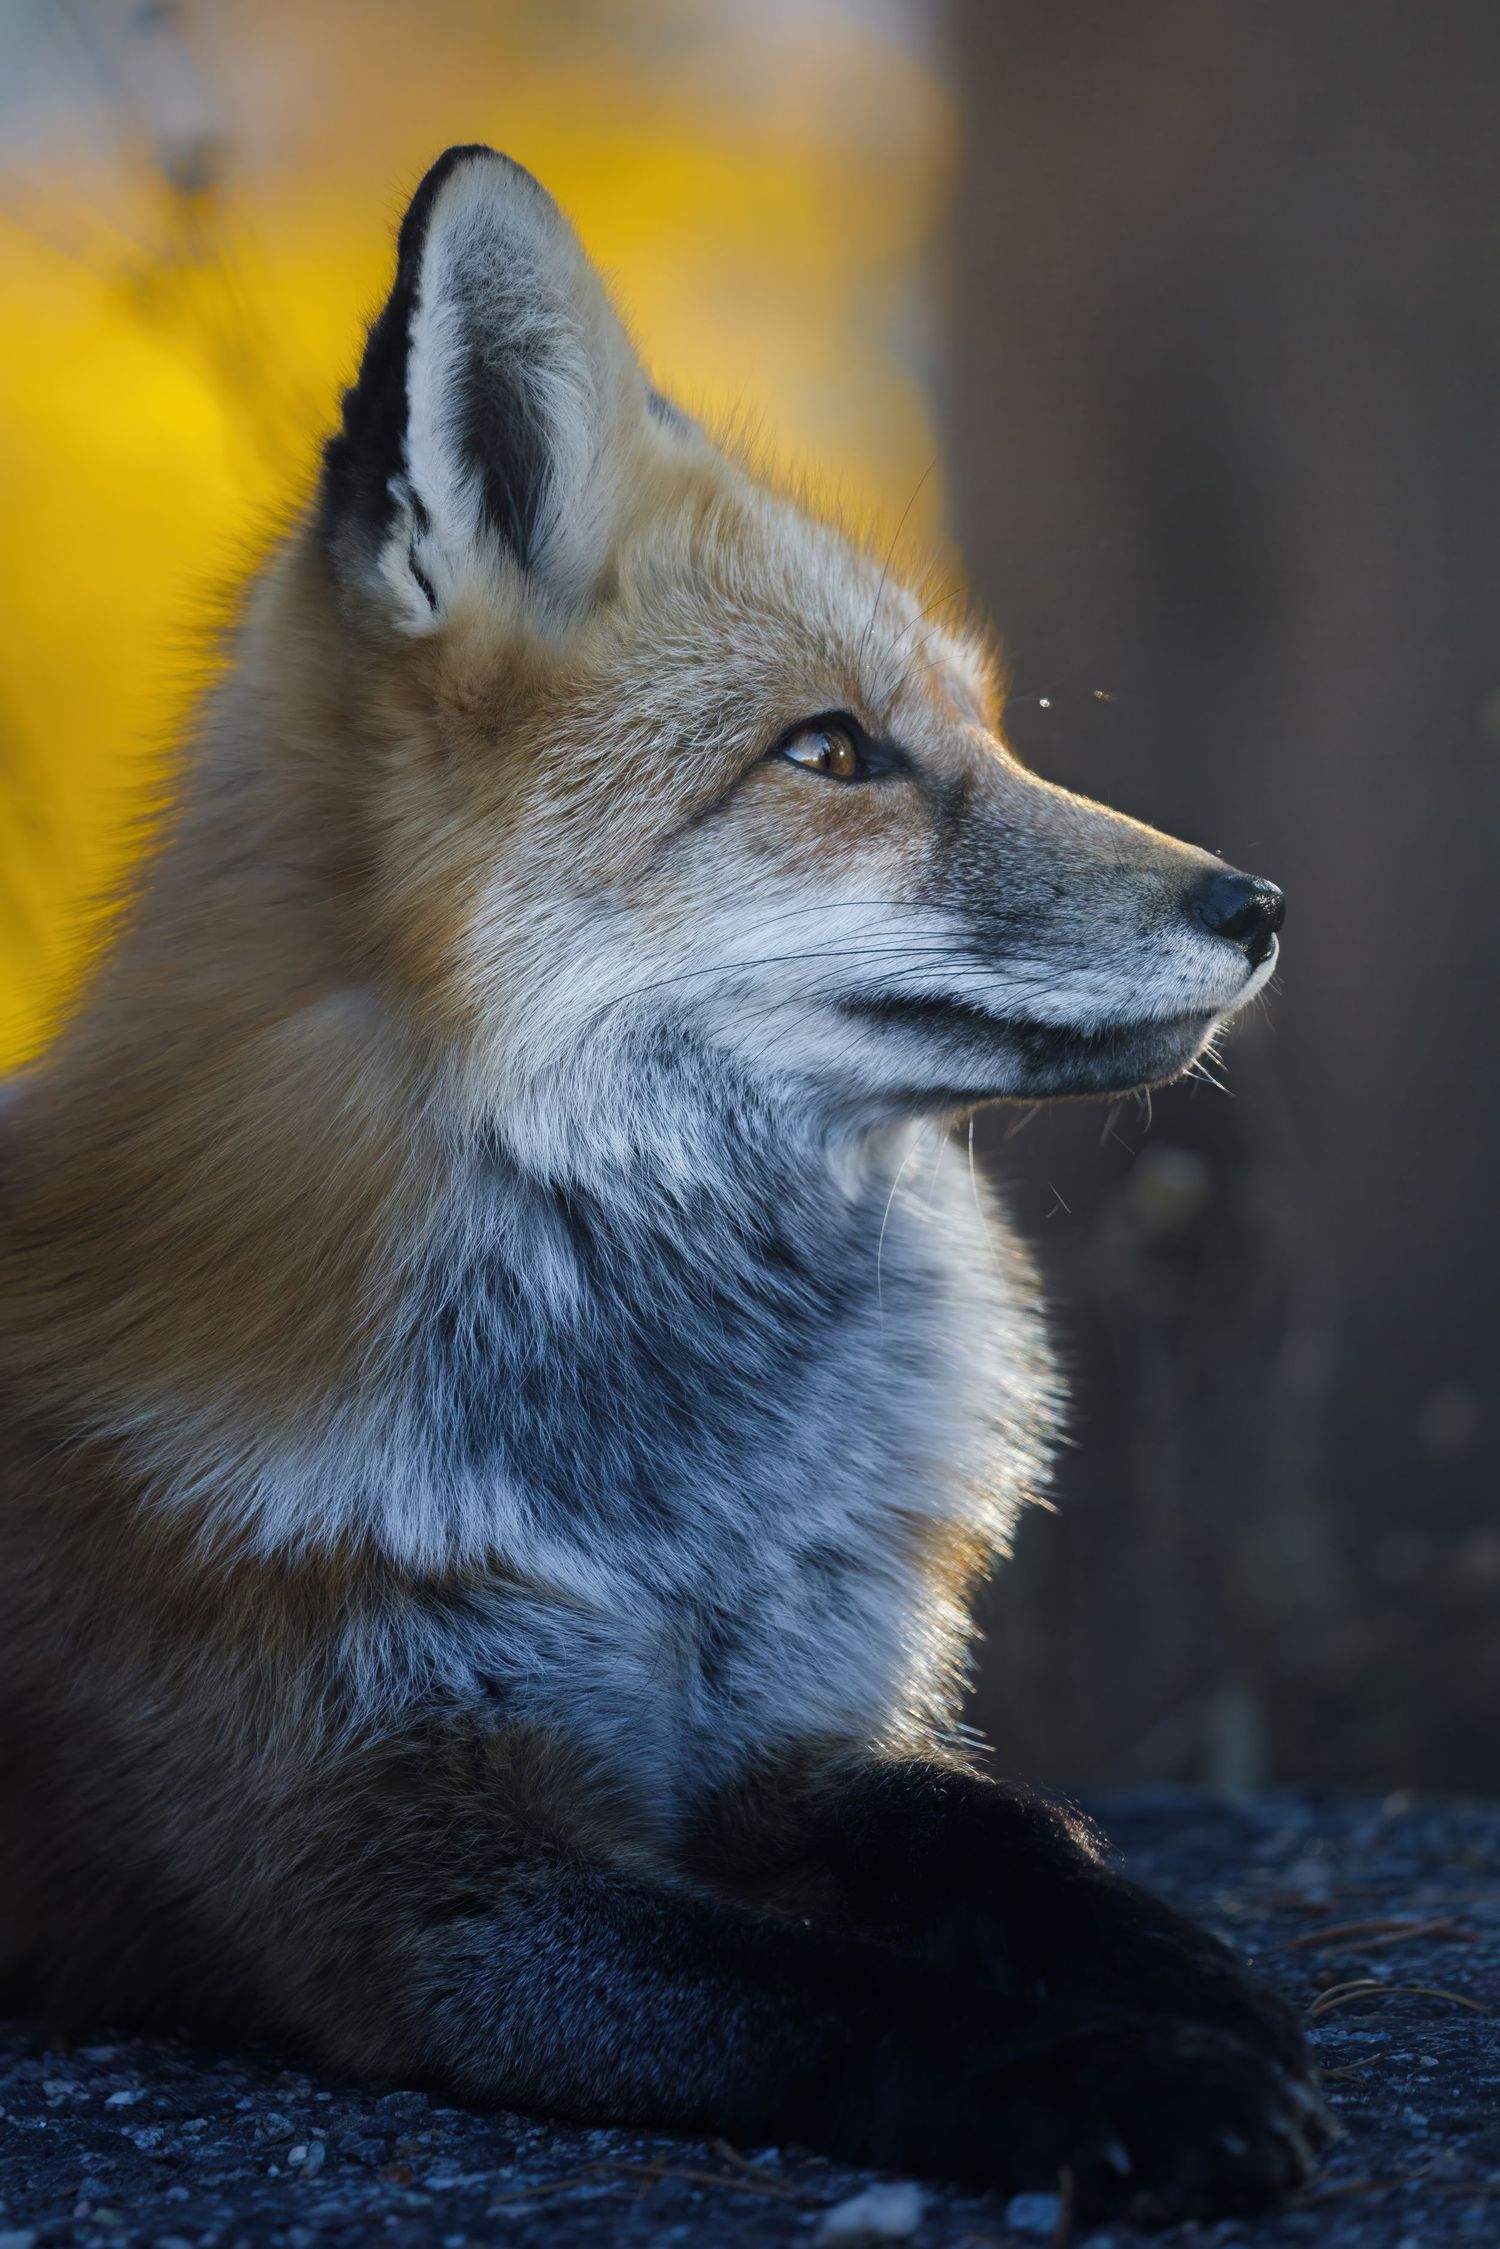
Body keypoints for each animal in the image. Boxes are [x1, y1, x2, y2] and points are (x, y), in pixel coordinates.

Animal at [0, 147, 1325, 2222]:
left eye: (983, 727)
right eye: (833, 750)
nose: (1256, 906)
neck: (670, 1505)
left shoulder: (781, 1730)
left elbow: (1006, 1825)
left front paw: (1173, 1960)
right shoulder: (398, 1870)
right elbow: (826, 1984)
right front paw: (1120, 2068)